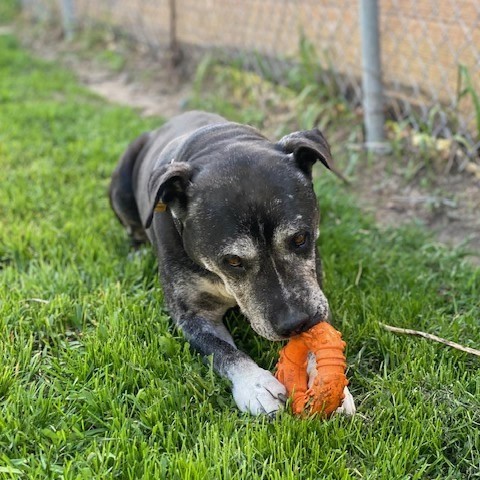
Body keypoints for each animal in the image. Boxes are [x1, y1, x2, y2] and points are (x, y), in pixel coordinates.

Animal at [109, 111, 356, 416]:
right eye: (233, 260)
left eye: (300, 237)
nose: (296, 322)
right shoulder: (192, 315)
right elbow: (223, 351)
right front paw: (256, 385)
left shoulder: (315, 288)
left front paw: (332, 386)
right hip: (120, 185)